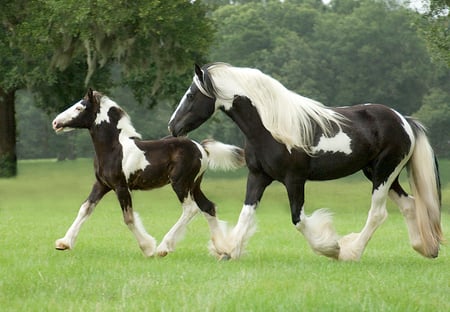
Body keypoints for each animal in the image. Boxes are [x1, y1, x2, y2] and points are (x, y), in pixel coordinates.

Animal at [51, 89, 246, 258]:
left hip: (180, 183)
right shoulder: (101, 184)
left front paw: (148, 248)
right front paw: (64, 243)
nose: (55, 123)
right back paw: (223, 249)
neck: (115, 148)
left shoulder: (121, 187)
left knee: (191, 208)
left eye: (79, 108)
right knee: (208, 206)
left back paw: (163, 248)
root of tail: (201, 148)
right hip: (195, 185)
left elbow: (128, 218)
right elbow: (85, 208)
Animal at [167, 62, 442, 260]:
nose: (172, 127)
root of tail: (404, 120)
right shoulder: (257, 176)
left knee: (378, 213)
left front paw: (331, 248)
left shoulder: (294, 180)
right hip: (379, 173)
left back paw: (351, 251)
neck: (270, 128)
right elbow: (246, 214)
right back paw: (426, 248)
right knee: (409, 204)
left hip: (384, 173)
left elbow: (298, 219)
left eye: (191, 95)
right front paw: (228, 249)